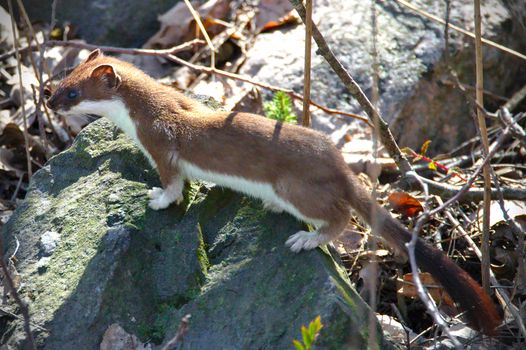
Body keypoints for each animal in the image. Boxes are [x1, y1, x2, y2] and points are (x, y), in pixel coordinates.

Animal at [46, 48, 504, 334]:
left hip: (295, 185)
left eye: (73, 91)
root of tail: (340, 164)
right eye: (61, 79)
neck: (148, 111)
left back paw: (306, 238)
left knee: (339, 216)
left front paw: (156, 199)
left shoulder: (162, 146)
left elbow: (174, 186)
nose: (48, 103)